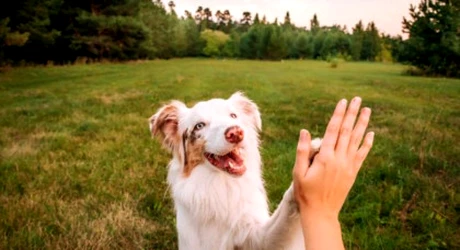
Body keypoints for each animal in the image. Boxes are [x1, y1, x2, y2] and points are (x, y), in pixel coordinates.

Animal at [150, 92, 320, 250]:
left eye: (233, 116)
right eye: (199, 125)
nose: (236, 133)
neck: (224, 185)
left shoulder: (257, 237)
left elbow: (285, 208)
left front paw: (312, 152)